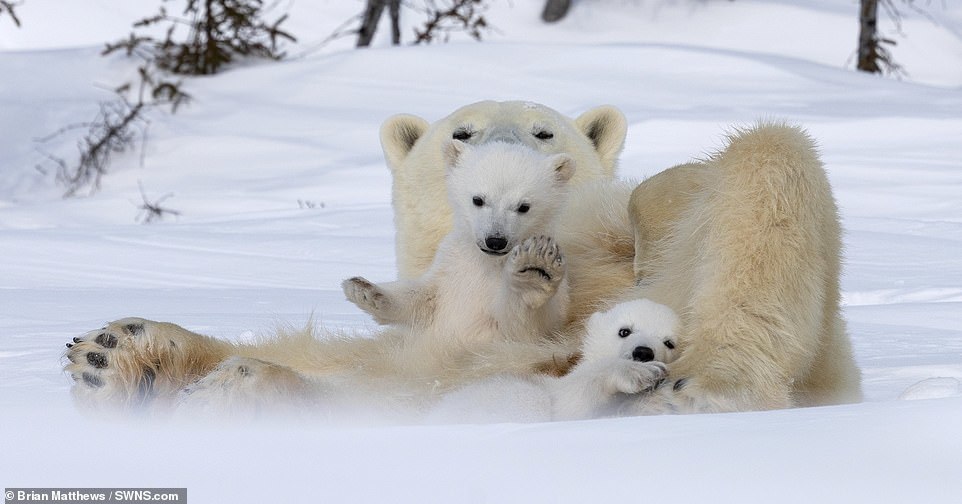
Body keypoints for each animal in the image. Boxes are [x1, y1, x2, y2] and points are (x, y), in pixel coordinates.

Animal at [63, 100, 860, 416]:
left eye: (544, 132)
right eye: (461, 132)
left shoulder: (586, 232)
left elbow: (659, 201)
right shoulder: (429, 319)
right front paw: (113, 353)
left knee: (772, 158)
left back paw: (703, 385)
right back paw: (127, 360)